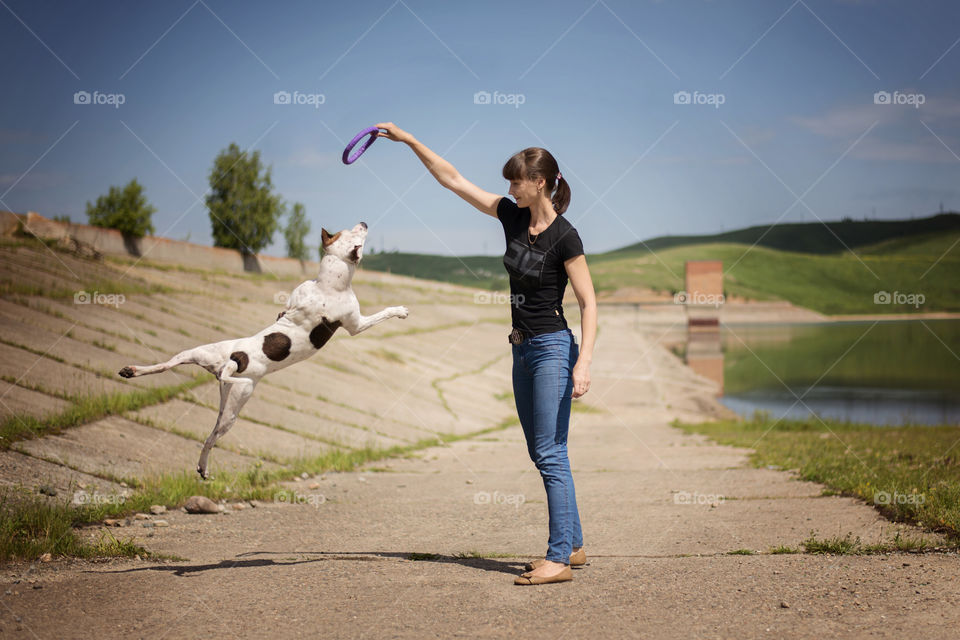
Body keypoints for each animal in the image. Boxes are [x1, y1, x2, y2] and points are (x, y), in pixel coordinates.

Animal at [118, 222, 406, 478]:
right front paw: (400, 310)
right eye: (355, 235)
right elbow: (383, 314)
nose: (364, 222)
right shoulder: (356, 324)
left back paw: (133, 372)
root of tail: (234, 359)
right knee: (211, 438)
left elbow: (285, 309)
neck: (329, 281)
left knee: (170, 373)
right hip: (237, 401)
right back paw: (204, 468)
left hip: (207, 372)